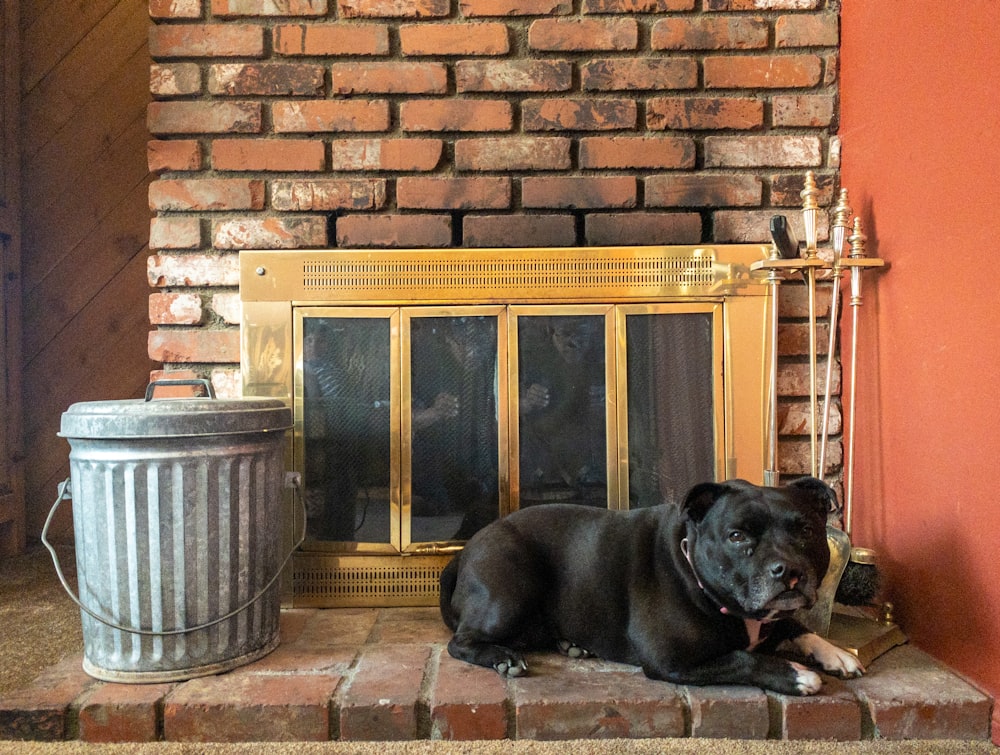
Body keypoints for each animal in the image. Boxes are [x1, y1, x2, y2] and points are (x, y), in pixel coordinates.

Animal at [442, 478, 864, 696]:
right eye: (737, 536)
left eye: (805, 530)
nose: (788, 570)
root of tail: (464, 551)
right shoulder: (672, 659)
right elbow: (743, 659)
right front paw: (796, 674)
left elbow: (796, 626)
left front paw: (835, 653)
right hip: (509, 592)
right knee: (461, 641)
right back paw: (503, 656)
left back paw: (572, 645)